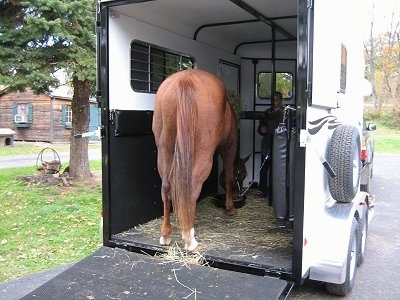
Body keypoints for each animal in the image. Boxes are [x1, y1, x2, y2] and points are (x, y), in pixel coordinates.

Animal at [152, 68, 236, 251]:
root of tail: (185, 79)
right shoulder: (229, 149)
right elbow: (228, 177)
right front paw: (230, 208)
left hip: (165, 150)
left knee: (166, 187)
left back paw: (166, 234)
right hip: (203, 154)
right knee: (192, 187)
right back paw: (189, 239)